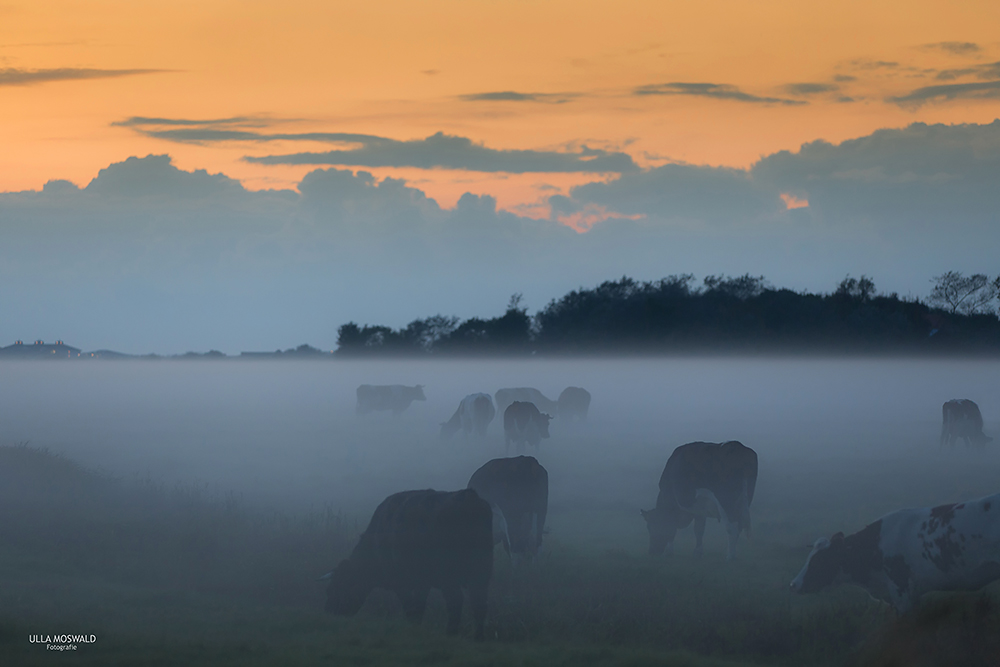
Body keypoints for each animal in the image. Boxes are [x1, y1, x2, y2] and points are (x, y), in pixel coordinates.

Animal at [322, 490, 494, 640]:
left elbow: (410, 606)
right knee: (479, 602)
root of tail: (468, 496)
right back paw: (478, 637)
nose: (329, 613)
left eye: (334, 588)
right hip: (481, 571)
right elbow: (419, 604)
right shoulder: (421, 582)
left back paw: (451, 633)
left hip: (448, 575)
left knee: (456, 600)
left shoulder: (401, 581)